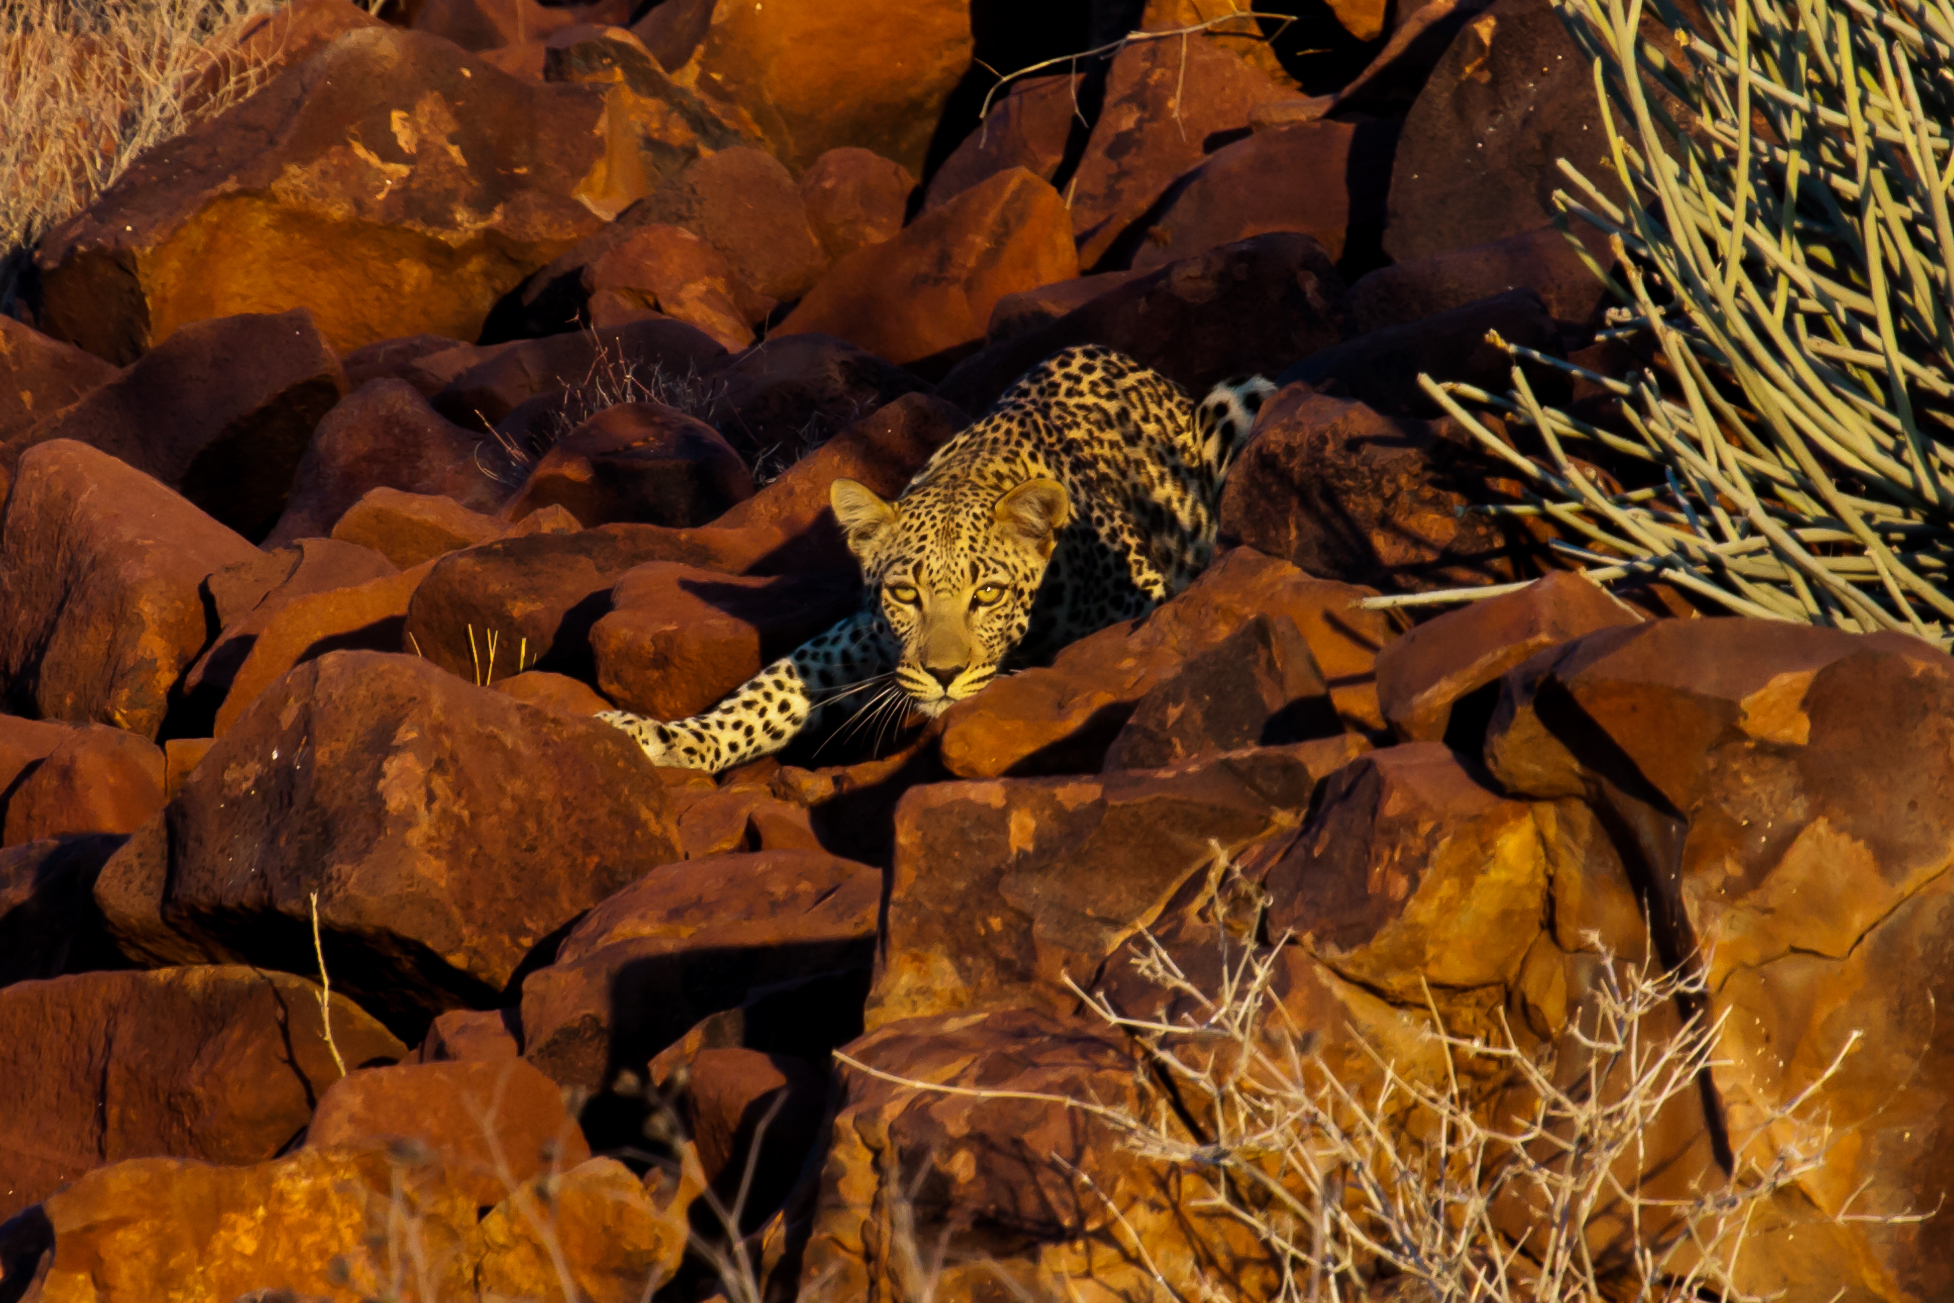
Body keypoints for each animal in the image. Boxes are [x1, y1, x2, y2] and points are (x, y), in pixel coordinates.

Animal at [597, 344, 1276, 774]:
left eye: (988, 594)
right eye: (906, 594)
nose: (946, 675)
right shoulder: (864, 635)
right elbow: (769, 693)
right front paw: (664, 738)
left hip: (1241, 399)